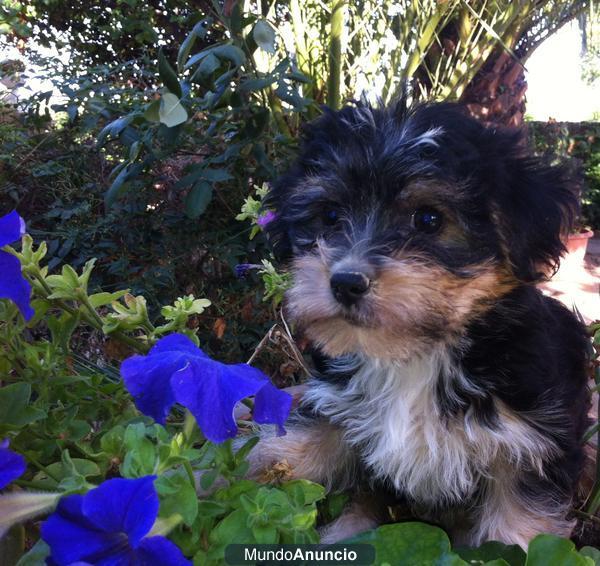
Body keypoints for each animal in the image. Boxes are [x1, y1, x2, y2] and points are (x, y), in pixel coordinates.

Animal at [250, 101, 592, 552]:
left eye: (429, 219)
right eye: (330, 215)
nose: (345, 282)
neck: (416, 355)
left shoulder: (528, 443)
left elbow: (516, 533)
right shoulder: (337, 404)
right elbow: (292, 449)